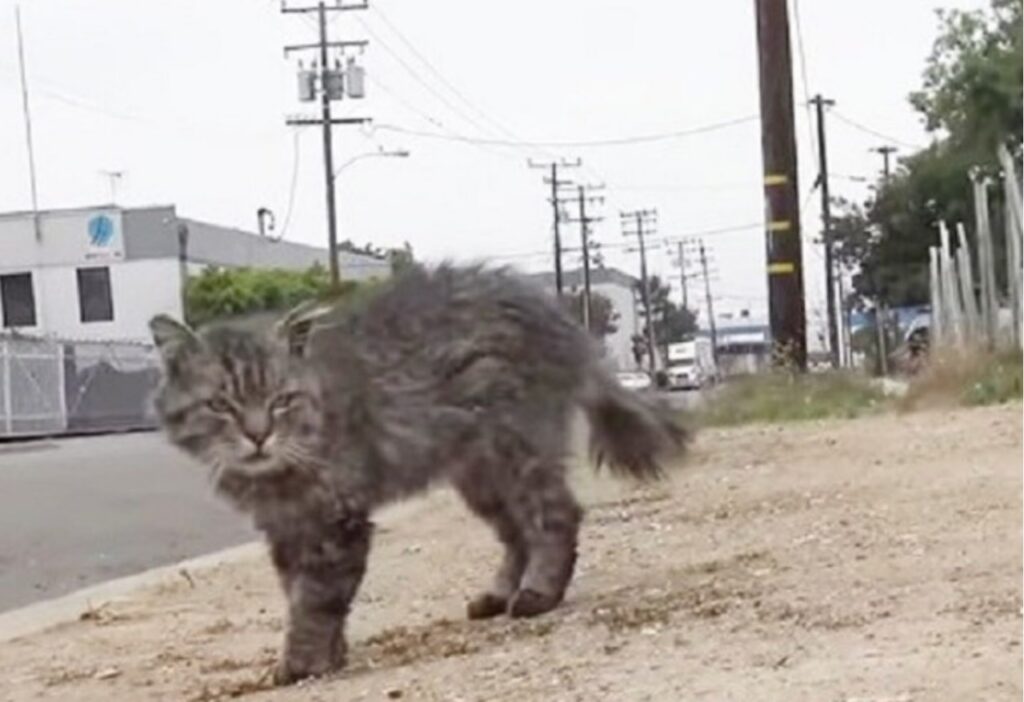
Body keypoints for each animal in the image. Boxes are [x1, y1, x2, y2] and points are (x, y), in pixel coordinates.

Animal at [146, 266, 688, 687]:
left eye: (281, 401)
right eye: (221, 405)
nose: (258, 436)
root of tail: (556, 316)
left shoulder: (335, 520)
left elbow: (315, 601)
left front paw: (302, 663)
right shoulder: (287, 528)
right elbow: (299, 593)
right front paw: (330, 655)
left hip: (514, 450)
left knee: (556, 516)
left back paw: (539, 595)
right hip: (481, 476)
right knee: (517, 534)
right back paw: (499, 595)